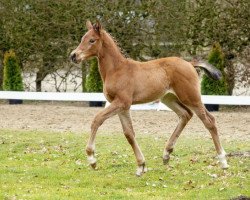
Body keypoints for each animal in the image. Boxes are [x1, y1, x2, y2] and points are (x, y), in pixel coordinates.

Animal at [70, 20, 229, 177]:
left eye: (92, 40)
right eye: (82, 38)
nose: (73, 56)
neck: (116, 70)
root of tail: (190, 64)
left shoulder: (122, 102)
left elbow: (97, 120)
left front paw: (92, 159)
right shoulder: (122, 106)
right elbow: (129, 133)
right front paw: (141, 166)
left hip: (191, 98)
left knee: (209, 121)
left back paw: (223, 162)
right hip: (169, 98)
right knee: (185, 114)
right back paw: (166, 154)